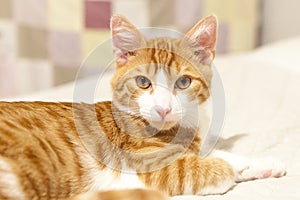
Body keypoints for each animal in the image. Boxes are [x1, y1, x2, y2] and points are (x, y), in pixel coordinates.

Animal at [0, 14, 286, 199]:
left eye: (183, 82)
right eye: (142, 82)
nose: (163, 109)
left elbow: (214, 153)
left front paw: (260, 164)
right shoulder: (151, 166)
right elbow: (203, 166)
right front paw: (234, 168)